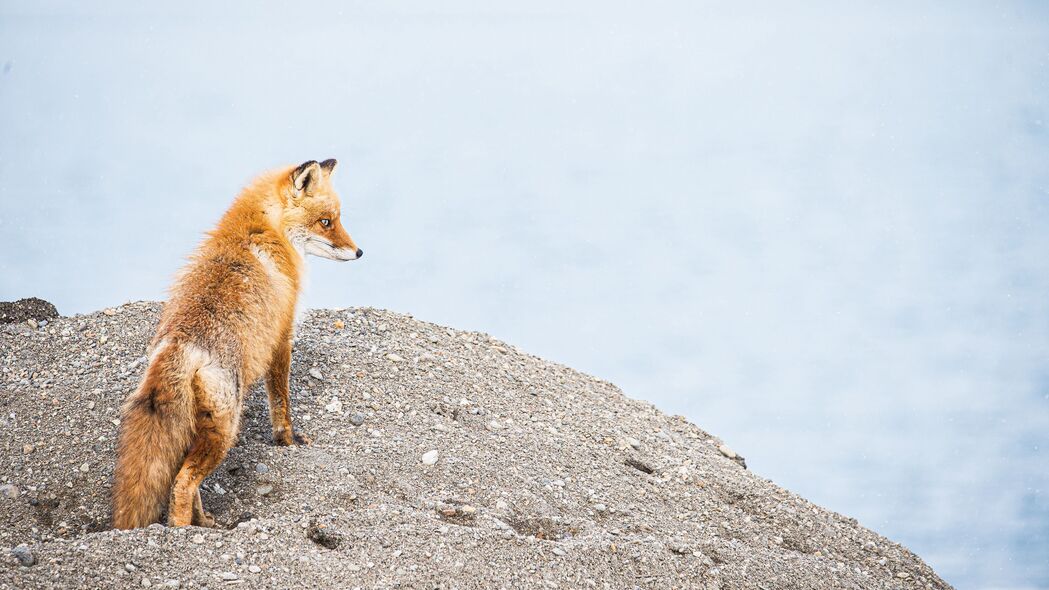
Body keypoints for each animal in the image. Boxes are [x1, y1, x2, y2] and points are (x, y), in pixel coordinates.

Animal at [111, 158, 362, 524]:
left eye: (337, 219)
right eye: (326, 222)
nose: (359, 251)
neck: (262, 229)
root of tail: (180, 345)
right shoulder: (281, 336)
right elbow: (281, 401)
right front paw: (287, 440)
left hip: (196, 428)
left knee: (183, 481)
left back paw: (204, 522)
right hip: (225, 428)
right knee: (183, 482)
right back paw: (182, 528)